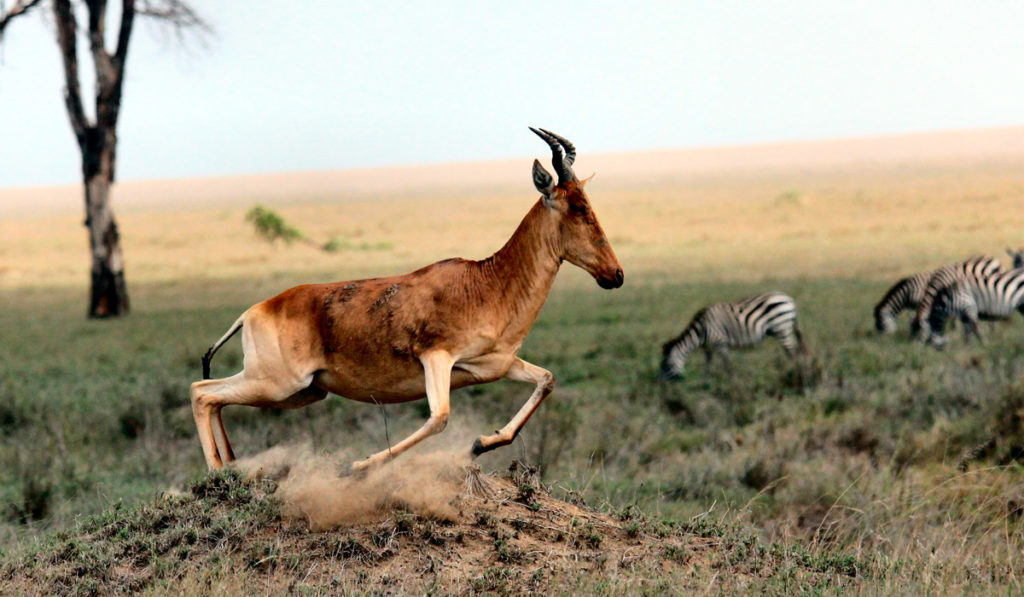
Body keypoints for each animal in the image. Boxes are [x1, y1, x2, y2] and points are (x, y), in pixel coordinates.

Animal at [659, 292, 811, 385]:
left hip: (782, 329)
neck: (701, 332)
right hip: (784, 329)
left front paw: (733, 384)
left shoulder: (721, 344)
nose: (660, 385)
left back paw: (788, 373)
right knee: (794, 351)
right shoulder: (708, 348)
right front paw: (706, 384)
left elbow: (728, 365)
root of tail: (789, 299)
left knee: (792, 352)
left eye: (667, 365)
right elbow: (707, 365)